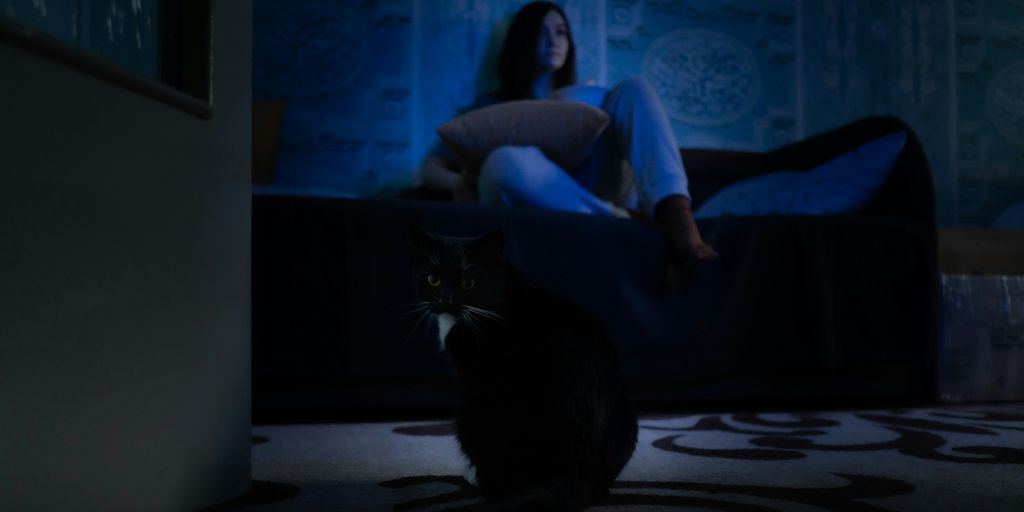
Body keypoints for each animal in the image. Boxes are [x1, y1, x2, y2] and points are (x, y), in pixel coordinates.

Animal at [409, 229, 634, 512]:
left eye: (468, 282)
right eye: (433, 279)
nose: (444, 301)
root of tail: (579, 474)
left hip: (472, 412)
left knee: (500, 484)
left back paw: (477, 476)